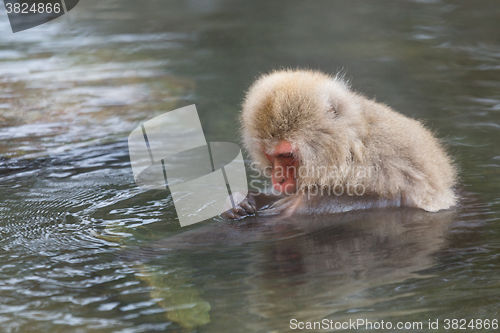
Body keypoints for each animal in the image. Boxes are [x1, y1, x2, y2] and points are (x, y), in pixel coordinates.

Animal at [223, 68, 458, 219]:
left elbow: (398, 198)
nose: (278, 178)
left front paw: (305, 204)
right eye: (270, 155)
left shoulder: (384, 161)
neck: (347, 147)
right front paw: (240, 199)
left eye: (287, 155)